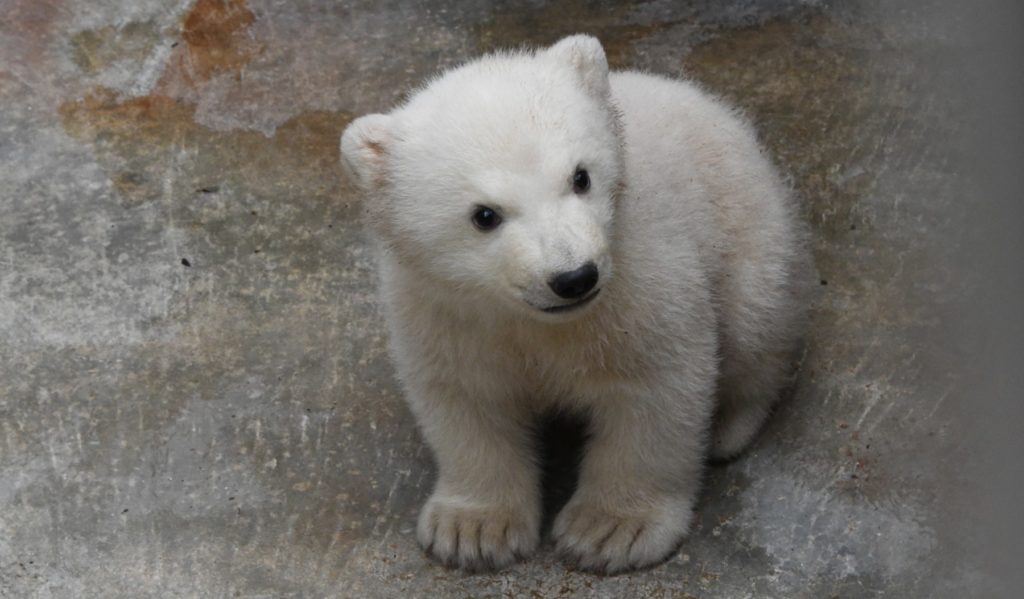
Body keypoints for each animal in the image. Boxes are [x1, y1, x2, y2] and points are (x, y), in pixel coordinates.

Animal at [340, 35, 811, 574]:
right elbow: (467, 398)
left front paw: (611, 531)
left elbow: (654, 389)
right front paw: (472, 531)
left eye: (580, 177)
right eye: (484, 215)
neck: (534, 319)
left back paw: (729, 427)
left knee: (756, 323)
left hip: (750, 230)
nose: (574, 277)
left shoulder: (638, 277)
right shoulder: (441, 308)